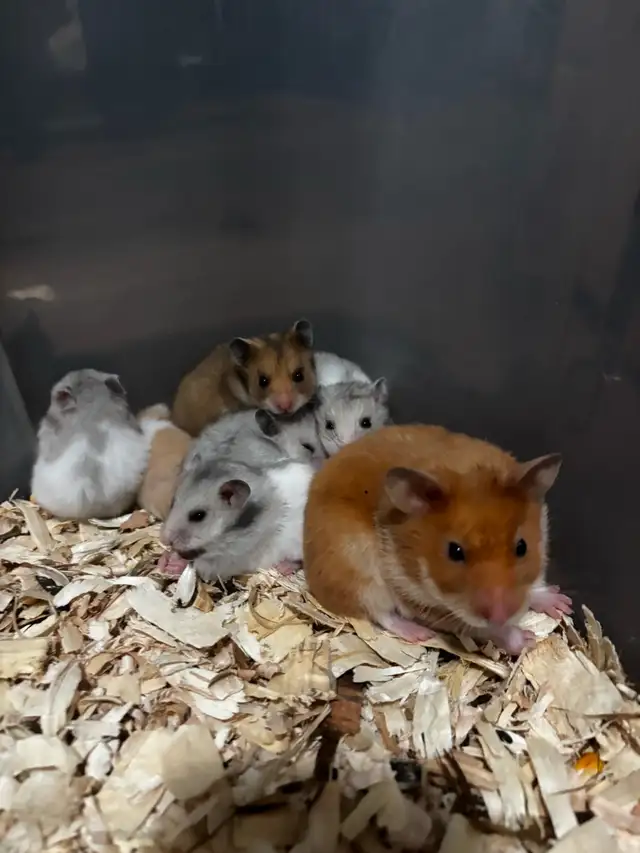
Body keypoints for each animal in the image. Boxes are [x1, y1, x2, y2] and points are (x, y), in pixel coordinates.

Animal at [160, 455, 315, 581]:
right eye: (172, 502)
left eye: (198, 515)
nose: (166, 540)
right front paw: (164, 560)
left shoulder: (233, 558)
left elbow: (200, 564)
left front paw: (175, 564)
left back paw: (283, 567)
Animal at [303, 424, 572, 656]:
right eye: (455, 551)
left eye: (522, 546)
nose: (500, 615)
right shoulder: (422, 604)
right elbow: (482, 628)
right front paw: (526, 639)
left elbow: (536, 585)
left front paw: (563, 604)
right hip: (358, 571)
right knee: (380, 613)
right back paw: (418, 634)